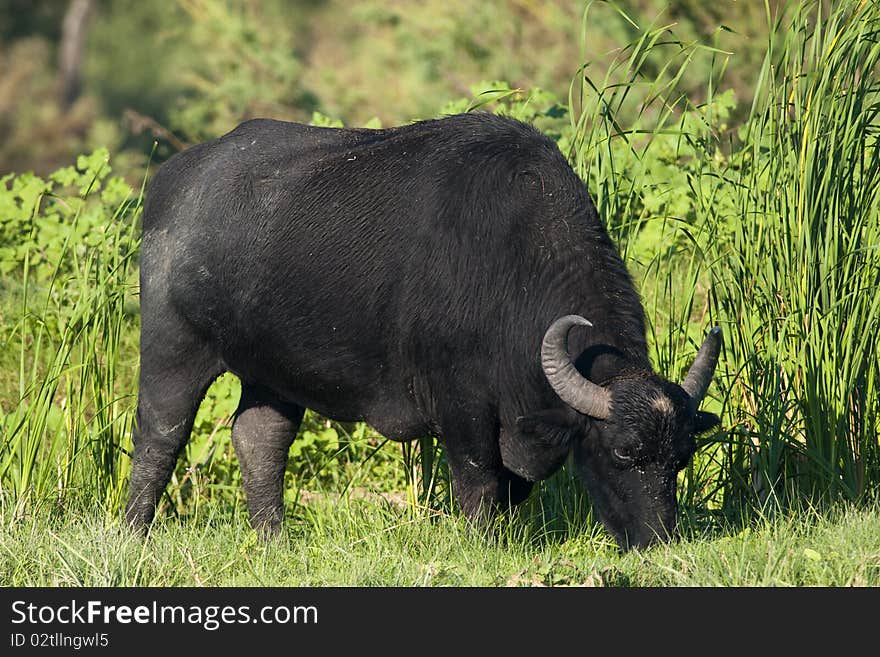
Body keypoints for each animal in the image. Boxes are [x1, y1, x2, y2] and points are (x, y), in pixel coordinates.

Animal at [125, 113, 720, 548]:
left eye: (681, 458)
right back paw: (135, 533)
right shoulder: (461, 403)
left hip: (271, 373)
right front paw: (480, 545)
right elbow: (480, 479)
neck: (512, 267)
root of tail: (173, 184)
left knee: (259, 440)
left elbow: (511, 487)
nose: (659, 540)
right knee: (160, 435)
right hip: (173, 346)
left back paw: (274, 540)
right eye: (622, 454)